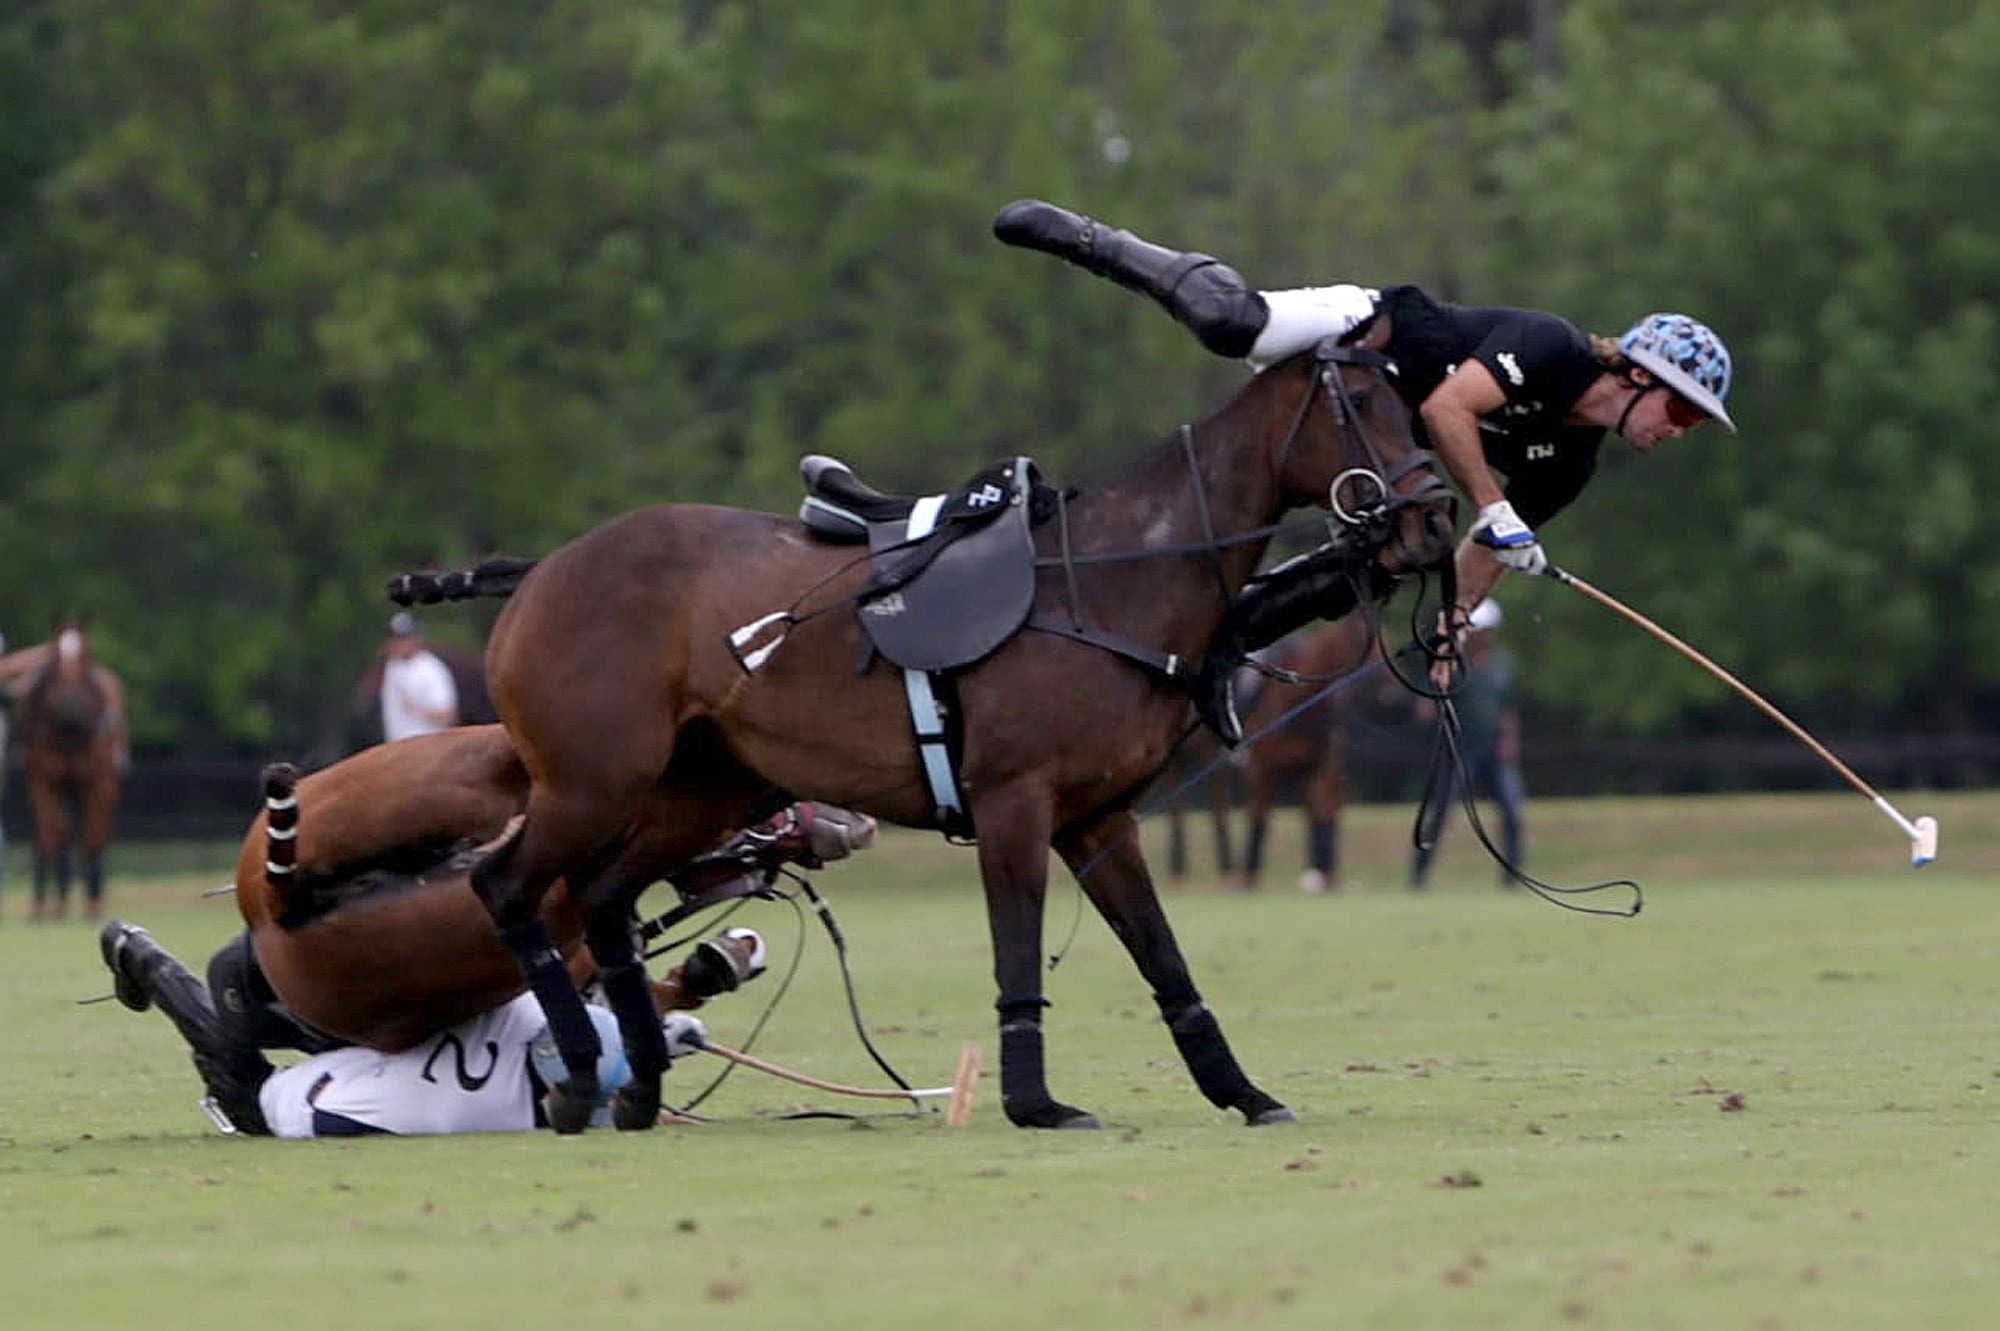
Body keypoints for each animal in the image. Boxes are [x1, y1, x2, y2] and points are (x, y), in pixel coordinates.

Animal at [17, 622, 127, 921]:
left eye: (87, 652)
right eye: (55, 654)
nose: (70, 704)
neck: (69, 735)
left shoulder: (99, 784)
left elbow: (92, 837)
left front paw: (93, 904)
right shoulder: (43, 784)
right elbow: (52, 836)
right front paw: (48, 907)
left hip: (107, 789)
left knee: (98, 832)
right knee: (56, 834)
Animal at [413, 326, 1453, 1134]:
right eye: (1362, 401)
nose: (1435, 519)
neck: (1110, 578)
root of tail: (538, 571)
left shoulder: (1100, 818)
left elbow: (1163, 956)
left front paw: (1241, 1091)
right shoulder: (1014, 805)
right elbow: (1017, 948)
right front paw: (1036, 1102)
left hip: (700, 791)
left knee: (601, 897)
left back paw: (635, 1089)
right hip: (589, 784)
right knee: (508, 886)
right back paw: (582, 1076)